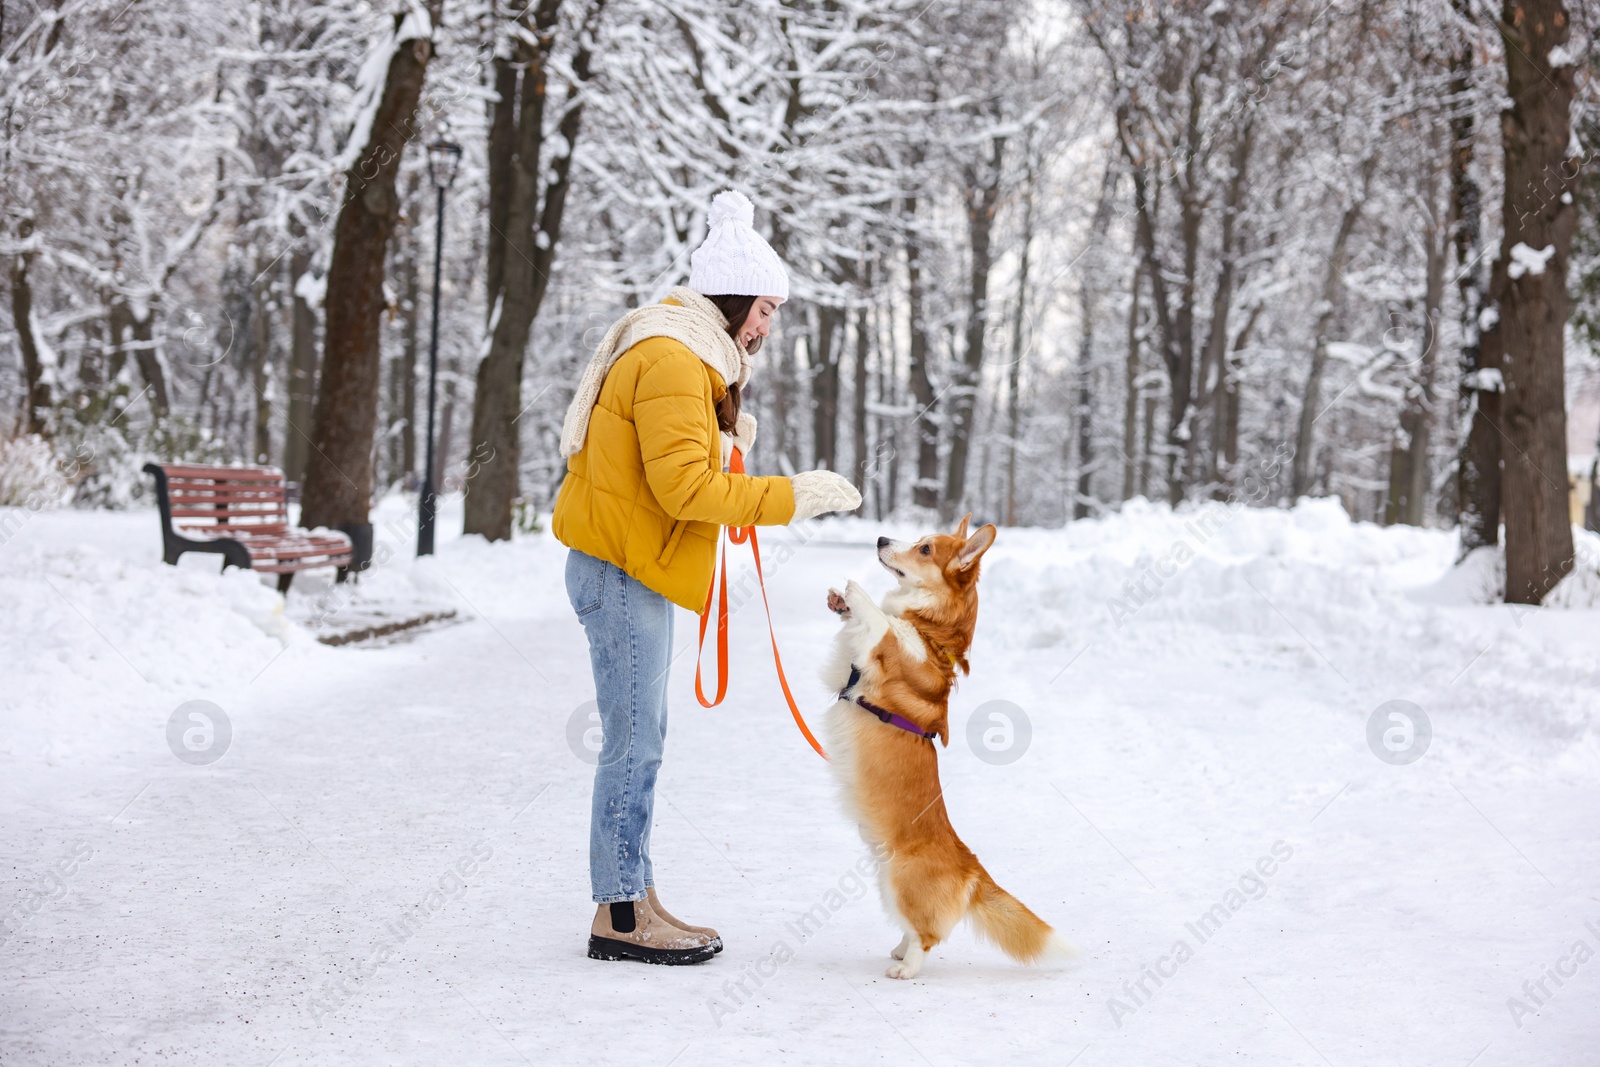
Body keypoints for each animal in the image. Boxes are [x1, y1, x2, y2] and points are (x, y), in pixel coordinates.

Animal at [825, 511, 1075, 979]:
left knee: (927, 936)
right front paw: (840, 603)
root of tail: (971, 868)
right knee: (914, 931)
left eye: (924, 549)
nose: (881, 537)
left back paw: (906, 969)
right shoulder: (847, 667)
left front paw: (856, 593)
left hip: (899, 881)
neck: (930, 633)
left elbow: (881, 622)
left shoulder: (885, 651)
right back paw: (899, 951)